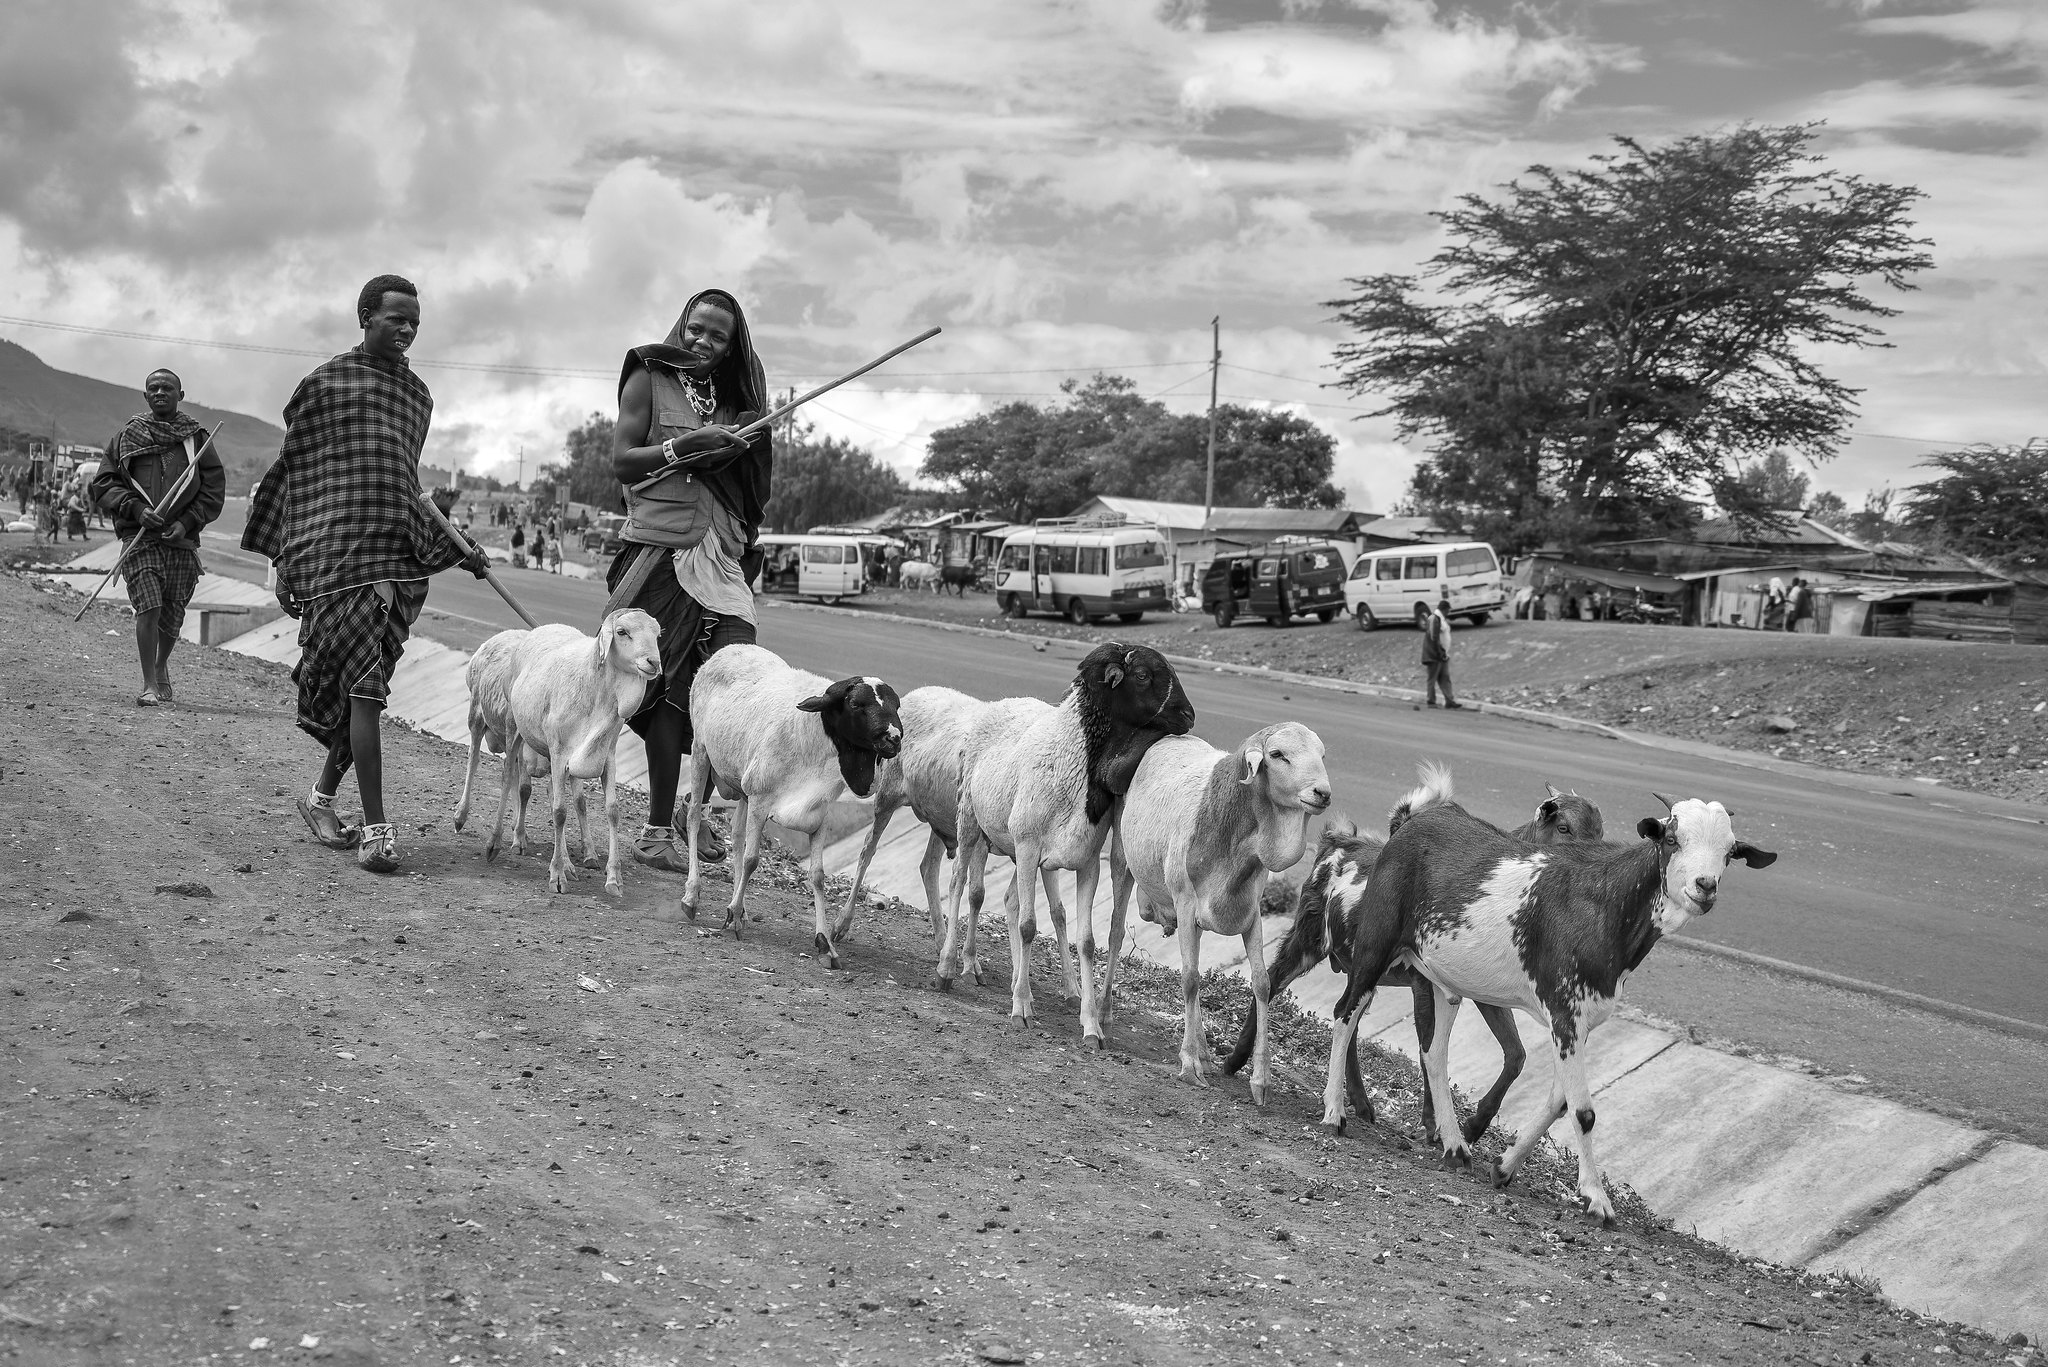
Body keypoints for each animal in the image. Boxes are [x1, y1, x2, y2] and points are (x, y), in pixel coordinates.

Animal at [493, 610, 659, 897]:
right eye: (622, 632)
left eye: (657, 633)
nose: (654, 663)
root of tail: (545, 627)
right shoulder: (560, 754)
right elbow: (559, 812)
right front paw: (558, 878)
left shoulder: (607, 756)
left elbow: (612, 811)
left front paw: (613, 879)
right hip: (515, 728)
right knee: (510, 779)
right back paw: (503, 843)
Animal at [679, 647, 905, 967]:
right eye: (855, 704)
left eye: (897, 705)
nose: (894, 739)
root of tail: (728, 649)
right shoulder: (761, 800)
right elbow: (752, 860)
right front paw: (731, 918)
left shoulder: (819, 814)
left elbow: (818, 876)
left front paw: (824, 943)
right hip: (701, 752)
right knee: (695, 818)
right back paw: (692, 896)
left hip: (742, 786)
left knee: (736, 836)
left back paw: (740, 907)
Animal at [1114, 721, 1335, 1106]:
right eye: (1277, 754)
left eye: (1321, 754)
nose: (1322, 793)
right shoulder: (1185, 904)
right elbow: (1189, 978)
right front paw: (1189, 1066)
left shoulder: (1251, 915)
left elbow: (1262, 983)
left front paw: (1260, 1081)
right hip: (1127, 866)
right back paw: (1100, 1014)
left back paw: (1204, 1050)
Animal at [1220, 774, 1605, 1147]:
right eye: (1564, 827)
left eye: (1600, 834)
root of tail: (1336, 841)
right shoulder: (1426, 983)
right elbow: (1427, 1047)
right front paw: (1435, 1126)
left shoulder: (1484, 991)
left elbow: (1515, 1054)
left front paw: (1471, 1127)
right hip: (1312, 937)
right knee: (1274, 979)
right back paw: (1237, 1061)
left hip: (1362, 965)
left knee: (1349, 1015)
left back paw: (1361, 1103)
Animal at [1318, 770, 1769, 1229]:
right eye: (1673, 839)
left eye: (1730, 852)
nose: (1704, 886)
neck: (1605, 905)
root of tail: (1409, 823)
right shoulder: (1564, 1008)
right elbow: (1583, 1111)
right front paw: (1597, 1200)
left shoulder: (1581, 1019)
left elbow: (1559, 1101)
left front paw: (1503, 1167)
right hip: (1377, 938)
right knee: (1345, 1012)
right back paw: (1336, 1114)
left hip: (1443, 978)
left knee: (1433, 1050)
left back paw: (1455, 1146)